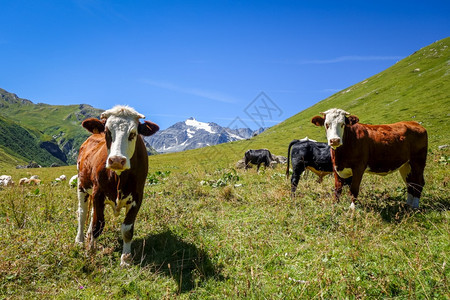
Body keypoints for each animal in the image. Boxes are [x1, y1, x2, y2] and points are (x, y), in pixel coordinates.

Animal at [74, 106, 158, 268]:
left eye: (133, 133)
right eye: (107, 132)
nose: (117, 160)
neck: (119, 176)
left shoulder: (137, 197)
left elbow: (127, 229)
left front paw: (125, 259)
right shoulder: (98, 193)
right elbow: (98, 225)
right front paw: (91, 252)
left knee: (92, 213)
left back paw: (87, 236)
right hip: (82, 185)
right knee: (82, 212)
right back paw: (80, 240)